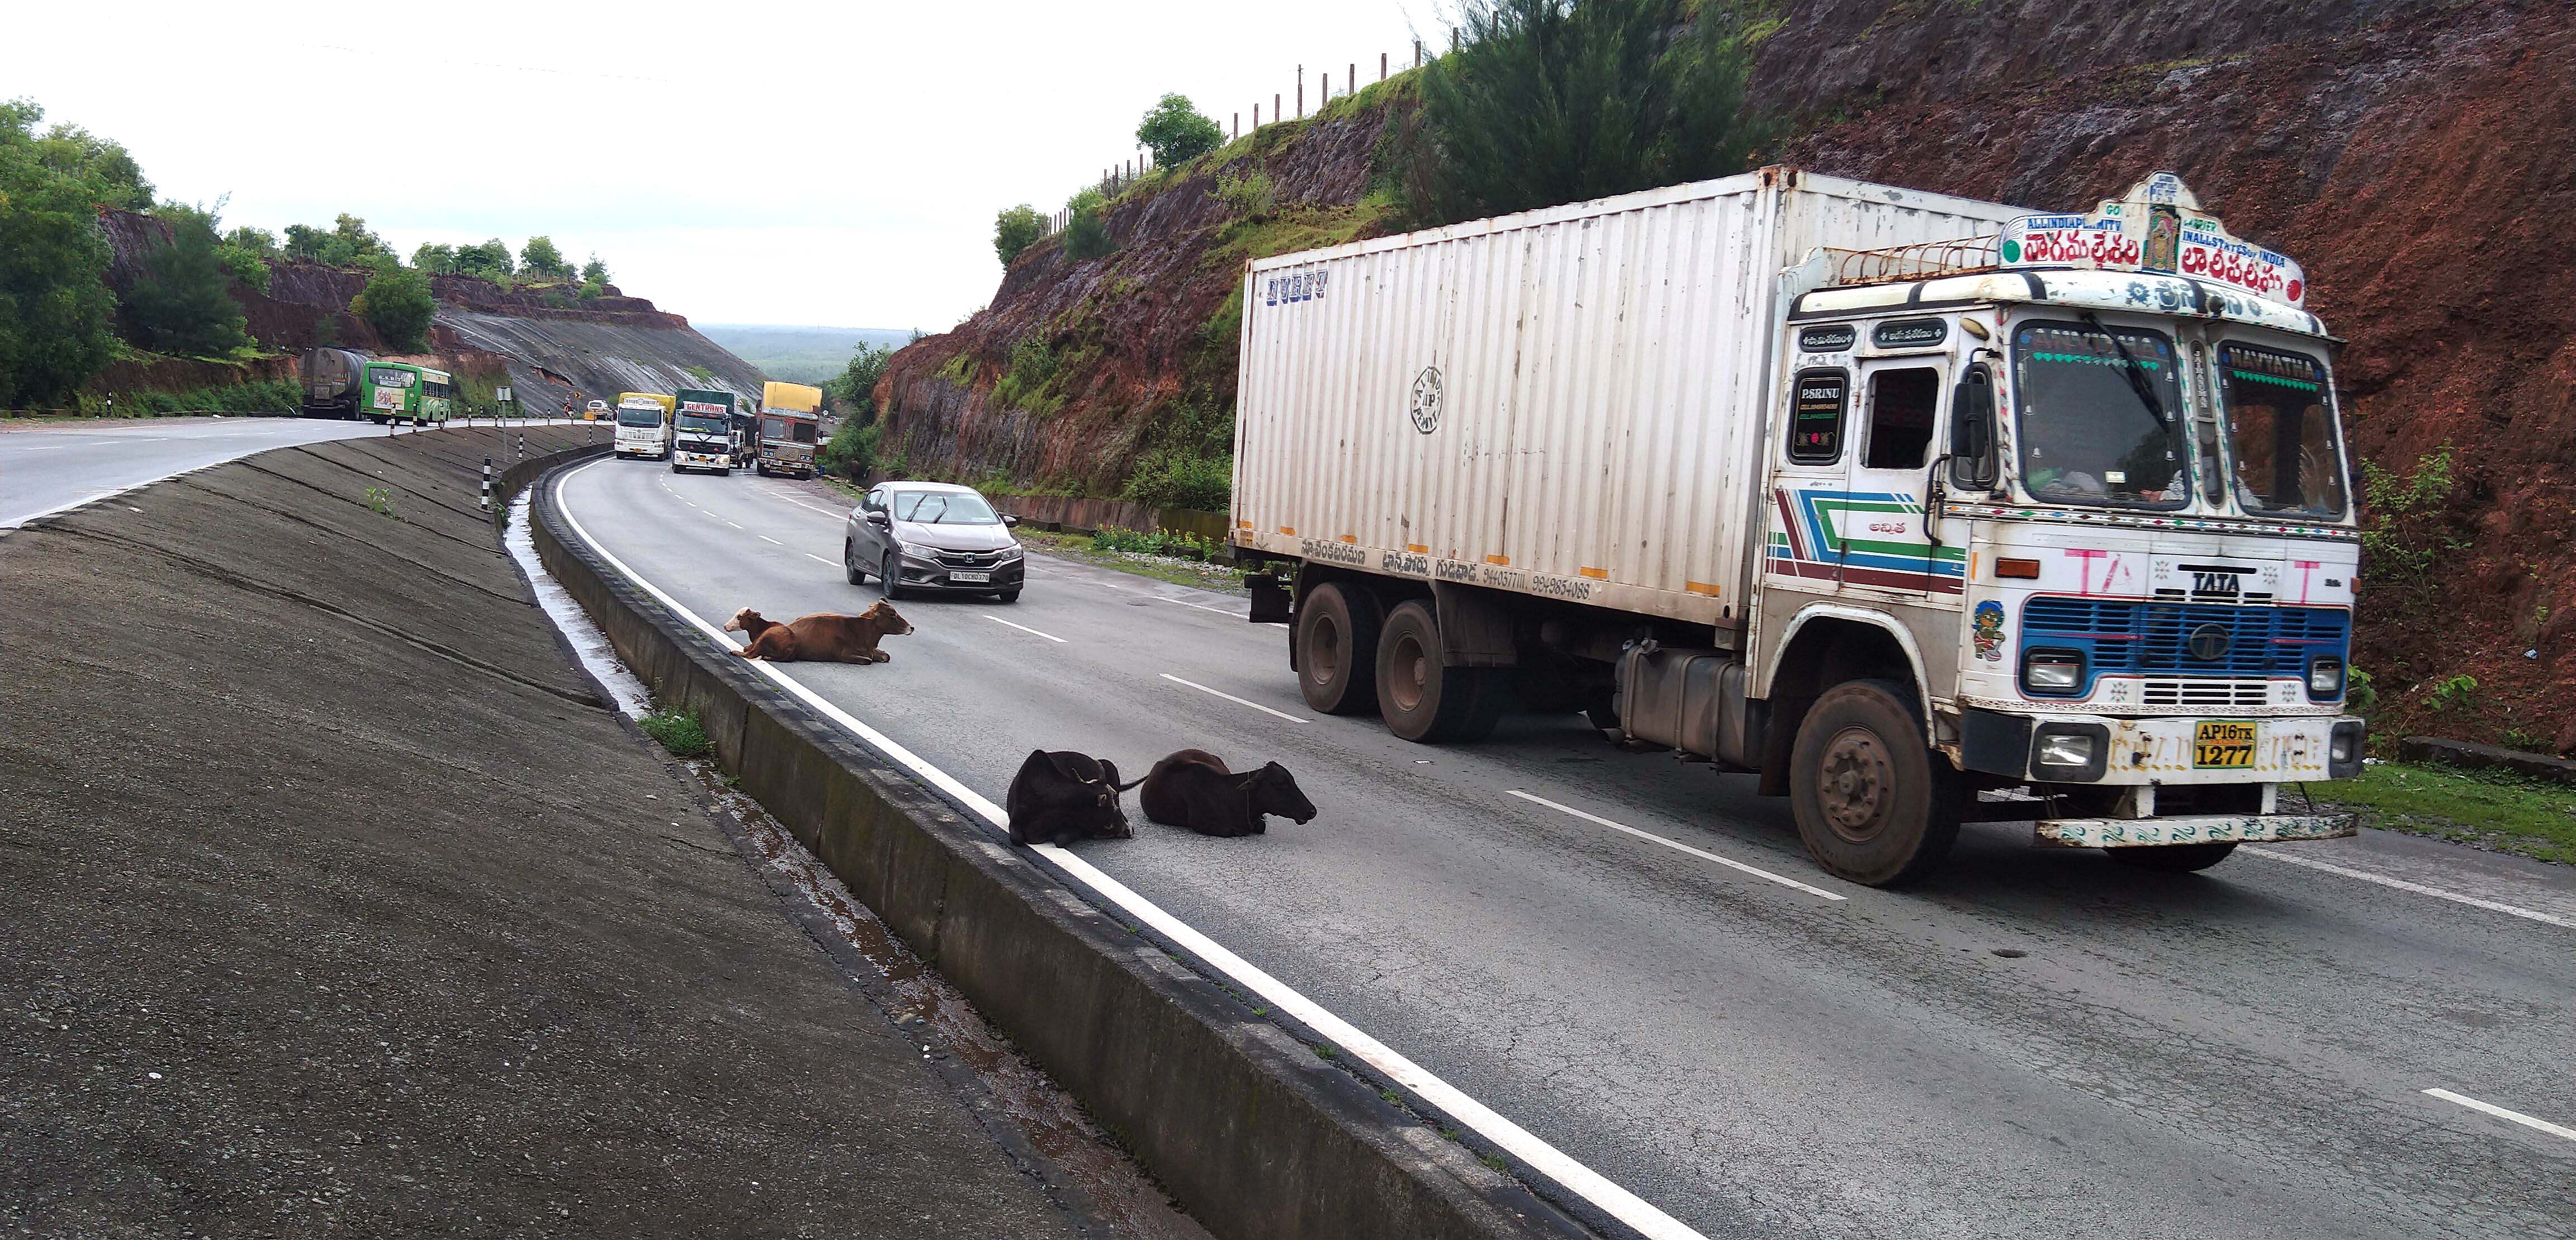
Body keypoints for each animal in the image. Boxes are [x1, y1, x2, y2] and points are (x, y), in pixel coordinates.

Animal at [726, 600, 917, 660]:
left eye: (739, 617)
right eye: (892, 614)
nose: (912, 627)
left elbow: (885, 656)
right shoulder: (845, 655)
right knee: (749, 653)